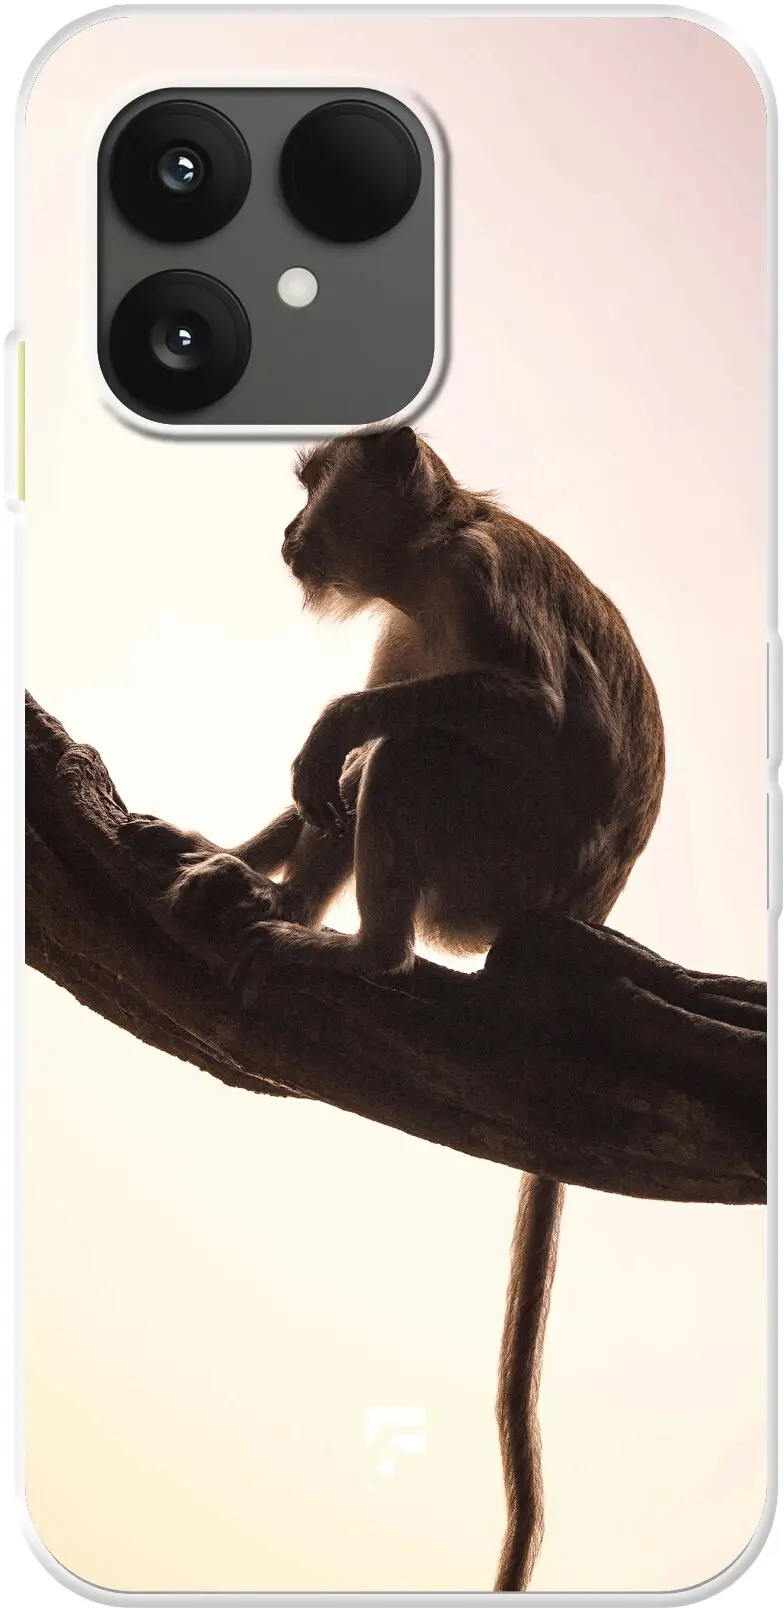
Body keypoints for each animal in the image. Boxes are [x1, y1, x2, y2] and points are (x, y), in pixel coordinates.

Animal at [163, 425, 665, 1590]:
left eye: (314, 485)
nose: (289, 530)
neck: (427, 558)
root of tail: (579, 913)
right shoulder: (403, 622)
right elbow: (331, 771)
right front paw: (232, 853)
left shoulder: (478, 580)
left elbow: (521, 711)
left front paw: (331, 736)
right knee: (376, 771)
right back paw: (278, 902)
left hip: (496, 872)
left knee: (410, 756)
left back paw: (361, 952)